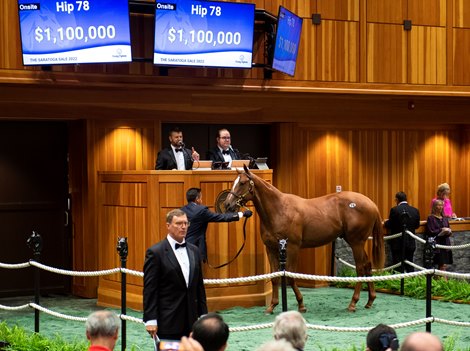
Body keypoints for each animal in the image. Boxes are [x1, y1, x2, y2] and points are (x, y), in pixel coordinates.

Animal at [225, 166, 386, 314]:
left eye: (242, 183)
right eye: (234, 182)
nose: (227, 204)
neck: (279, 210)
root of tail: (371, 203)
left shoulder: (292, 248)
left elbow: (290, 276)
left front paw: (301, 305)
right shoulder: (271, 249)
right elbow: (275, 277)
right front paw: (271, 306)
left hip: (356, 242)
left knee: (360, 268)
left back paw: (353, 303)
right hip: (358, 242)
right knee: (367, 265)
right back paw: (370, 300)